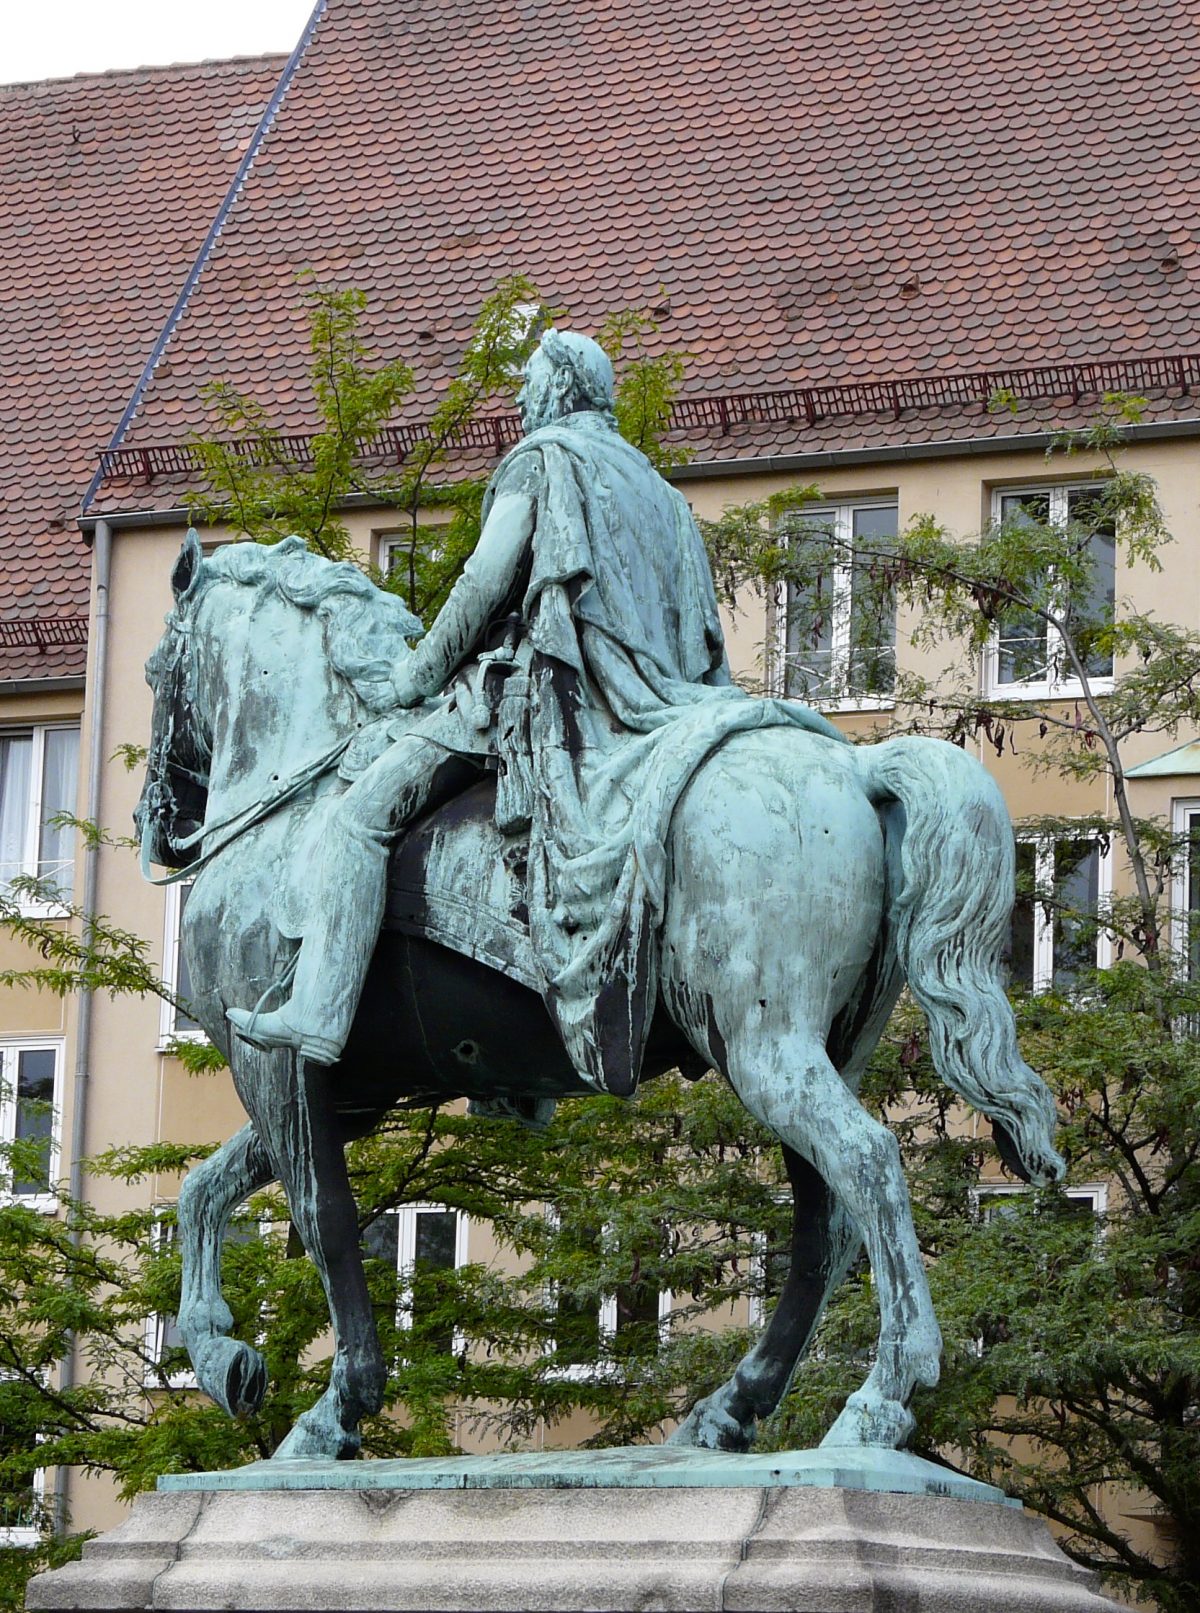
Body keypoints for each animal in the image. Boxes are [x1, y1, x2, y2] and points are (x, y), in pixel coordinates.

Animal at [136, 529, 1064, 1464]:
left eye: (151, 672)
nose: (160, 820)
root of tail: (859, 764)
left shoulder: (275, 1060)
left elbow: (323, 1217)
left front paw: (332, 1408)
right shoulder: (346, 1092)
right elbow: (206, 1188)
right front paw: (221, 1355)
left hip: (766, 1047)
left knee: (868, 1164)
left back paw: (880, 1396)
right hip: (826, 1046)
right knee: (827, 1226)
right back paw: (730, 1408)